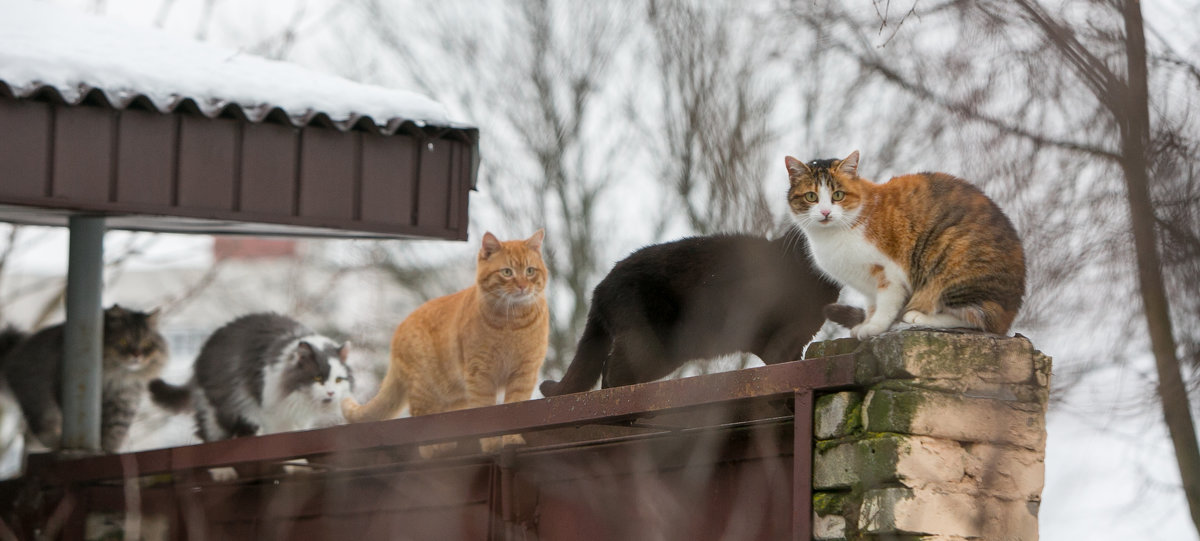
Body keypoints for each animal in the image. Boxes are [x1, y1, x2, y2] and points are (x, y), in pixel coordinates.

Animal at [0, 304, 169, 453]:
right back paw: (56, 443)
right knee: (40, 431)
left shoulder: (124, 402)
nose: (137, 355)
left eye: (146, 343)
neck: (118, 377)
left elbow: (114, 432)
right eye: (123, 341)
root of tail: (12, 354)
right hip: (38, 403)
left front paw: (107, 450)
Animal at [148, 311, 350, 443]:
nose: (331, 393)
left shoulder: (299, 417)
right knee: (209, 433)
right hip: (219, 407)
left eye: (338, 380)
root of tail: (201, 355)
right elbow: (282, 434)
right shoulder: (272, 412)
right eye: (318, 379)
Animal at [340, 230, 549, 451]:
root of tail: (398, 331)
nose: (523, 286)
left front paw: (511, 440)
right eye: (507, 272)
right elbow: (486, 414)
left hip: (455, 397)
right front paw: (492, 446)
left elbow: (514, 408)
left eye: (530, 271)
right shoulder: (480, 375)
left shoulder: (524, 373)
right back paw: (438, 450)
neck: (512, 322)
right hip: (426, 392)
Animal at [540, 233, 840, 398]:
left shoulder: (797, 336)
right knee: (611, 367)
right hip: (649, 343)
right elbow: (779, 360)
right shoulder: (769, 334)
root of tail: (600, 288)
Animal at [782, 151, 1027, 338]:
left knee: (979, 319)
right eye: (811, 197)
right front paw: (866, 322)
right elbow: (872, 304)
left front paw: (875, 326)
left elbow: (886, 303)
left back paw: (917, 317)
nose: (825, 212)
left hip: (951, 255)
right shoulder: (867, 283)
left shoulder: (889, 273)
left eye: (838, 195)